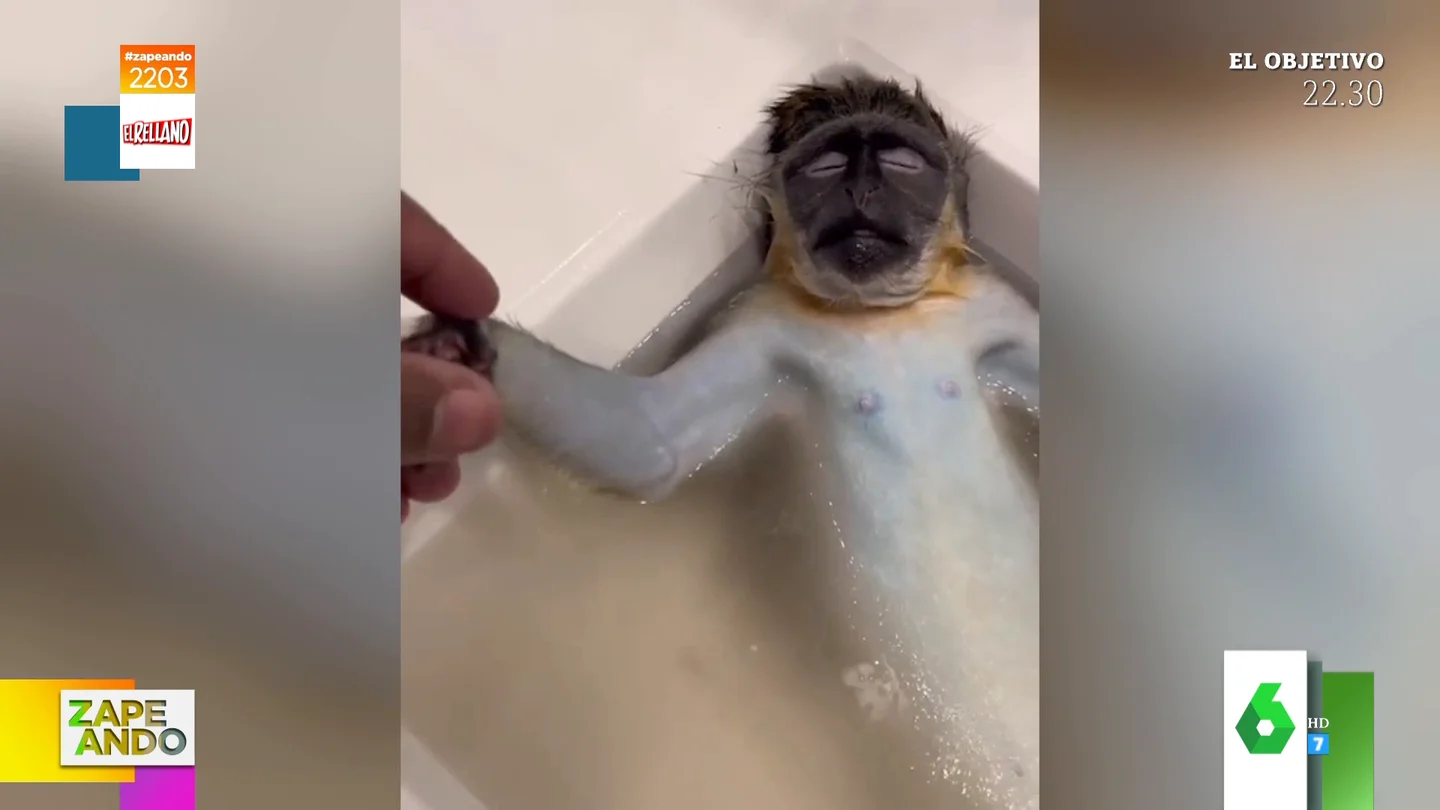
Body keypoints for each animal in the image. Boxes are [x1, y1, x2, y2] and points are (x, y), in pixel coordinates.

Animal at [402, 74, 1039, 809]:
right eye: (826, 166)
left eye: (901, 161)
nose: (860, 185)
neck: (880, 317)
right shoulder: (758, 320)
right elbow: (653, 448)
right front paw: (463, 347)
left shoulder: (993, 302)